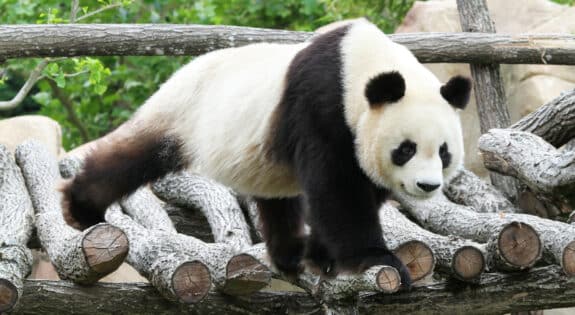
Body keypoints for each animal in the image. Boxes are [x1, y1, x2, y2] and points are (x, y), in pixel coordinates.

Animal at [60, 18, 470, 288]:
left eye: (444, 152)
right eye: (406, 149)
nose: (427, 185)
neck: (357, 63)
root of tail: (182, 70)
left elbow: (358, 189)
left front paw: (322, 256)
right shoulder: (321, 106)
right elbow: (337, 188)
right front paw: (375, 259)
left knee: (277, 199)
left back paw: (290, 254)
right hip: (185, 112)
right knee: (134, 157)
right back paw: (81, 206)